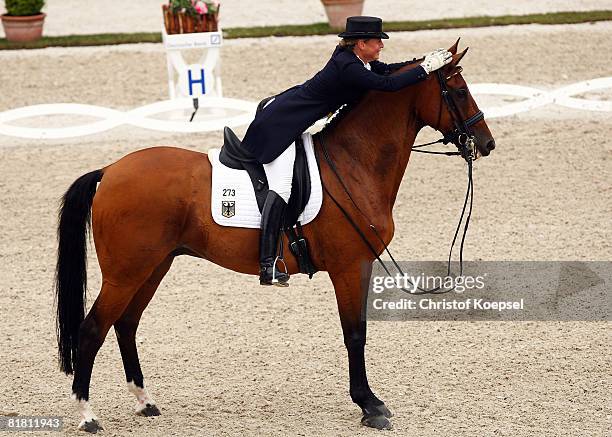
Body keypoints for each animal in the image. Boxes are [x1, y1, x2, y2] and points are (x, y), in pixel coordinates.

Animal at [56, 41, 498, 432]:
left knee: (126, 324)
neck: (353, 162)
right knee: (92, 330)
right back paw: (87, 415)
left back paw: (144, 402)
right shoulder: (350, 266)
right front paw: (369, 406)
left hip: (153, 266)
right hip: (126, 273)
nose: (487, 143)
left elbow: (356, 332)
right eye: (459, 91)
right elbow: (354, 334)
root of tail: (110, 170)